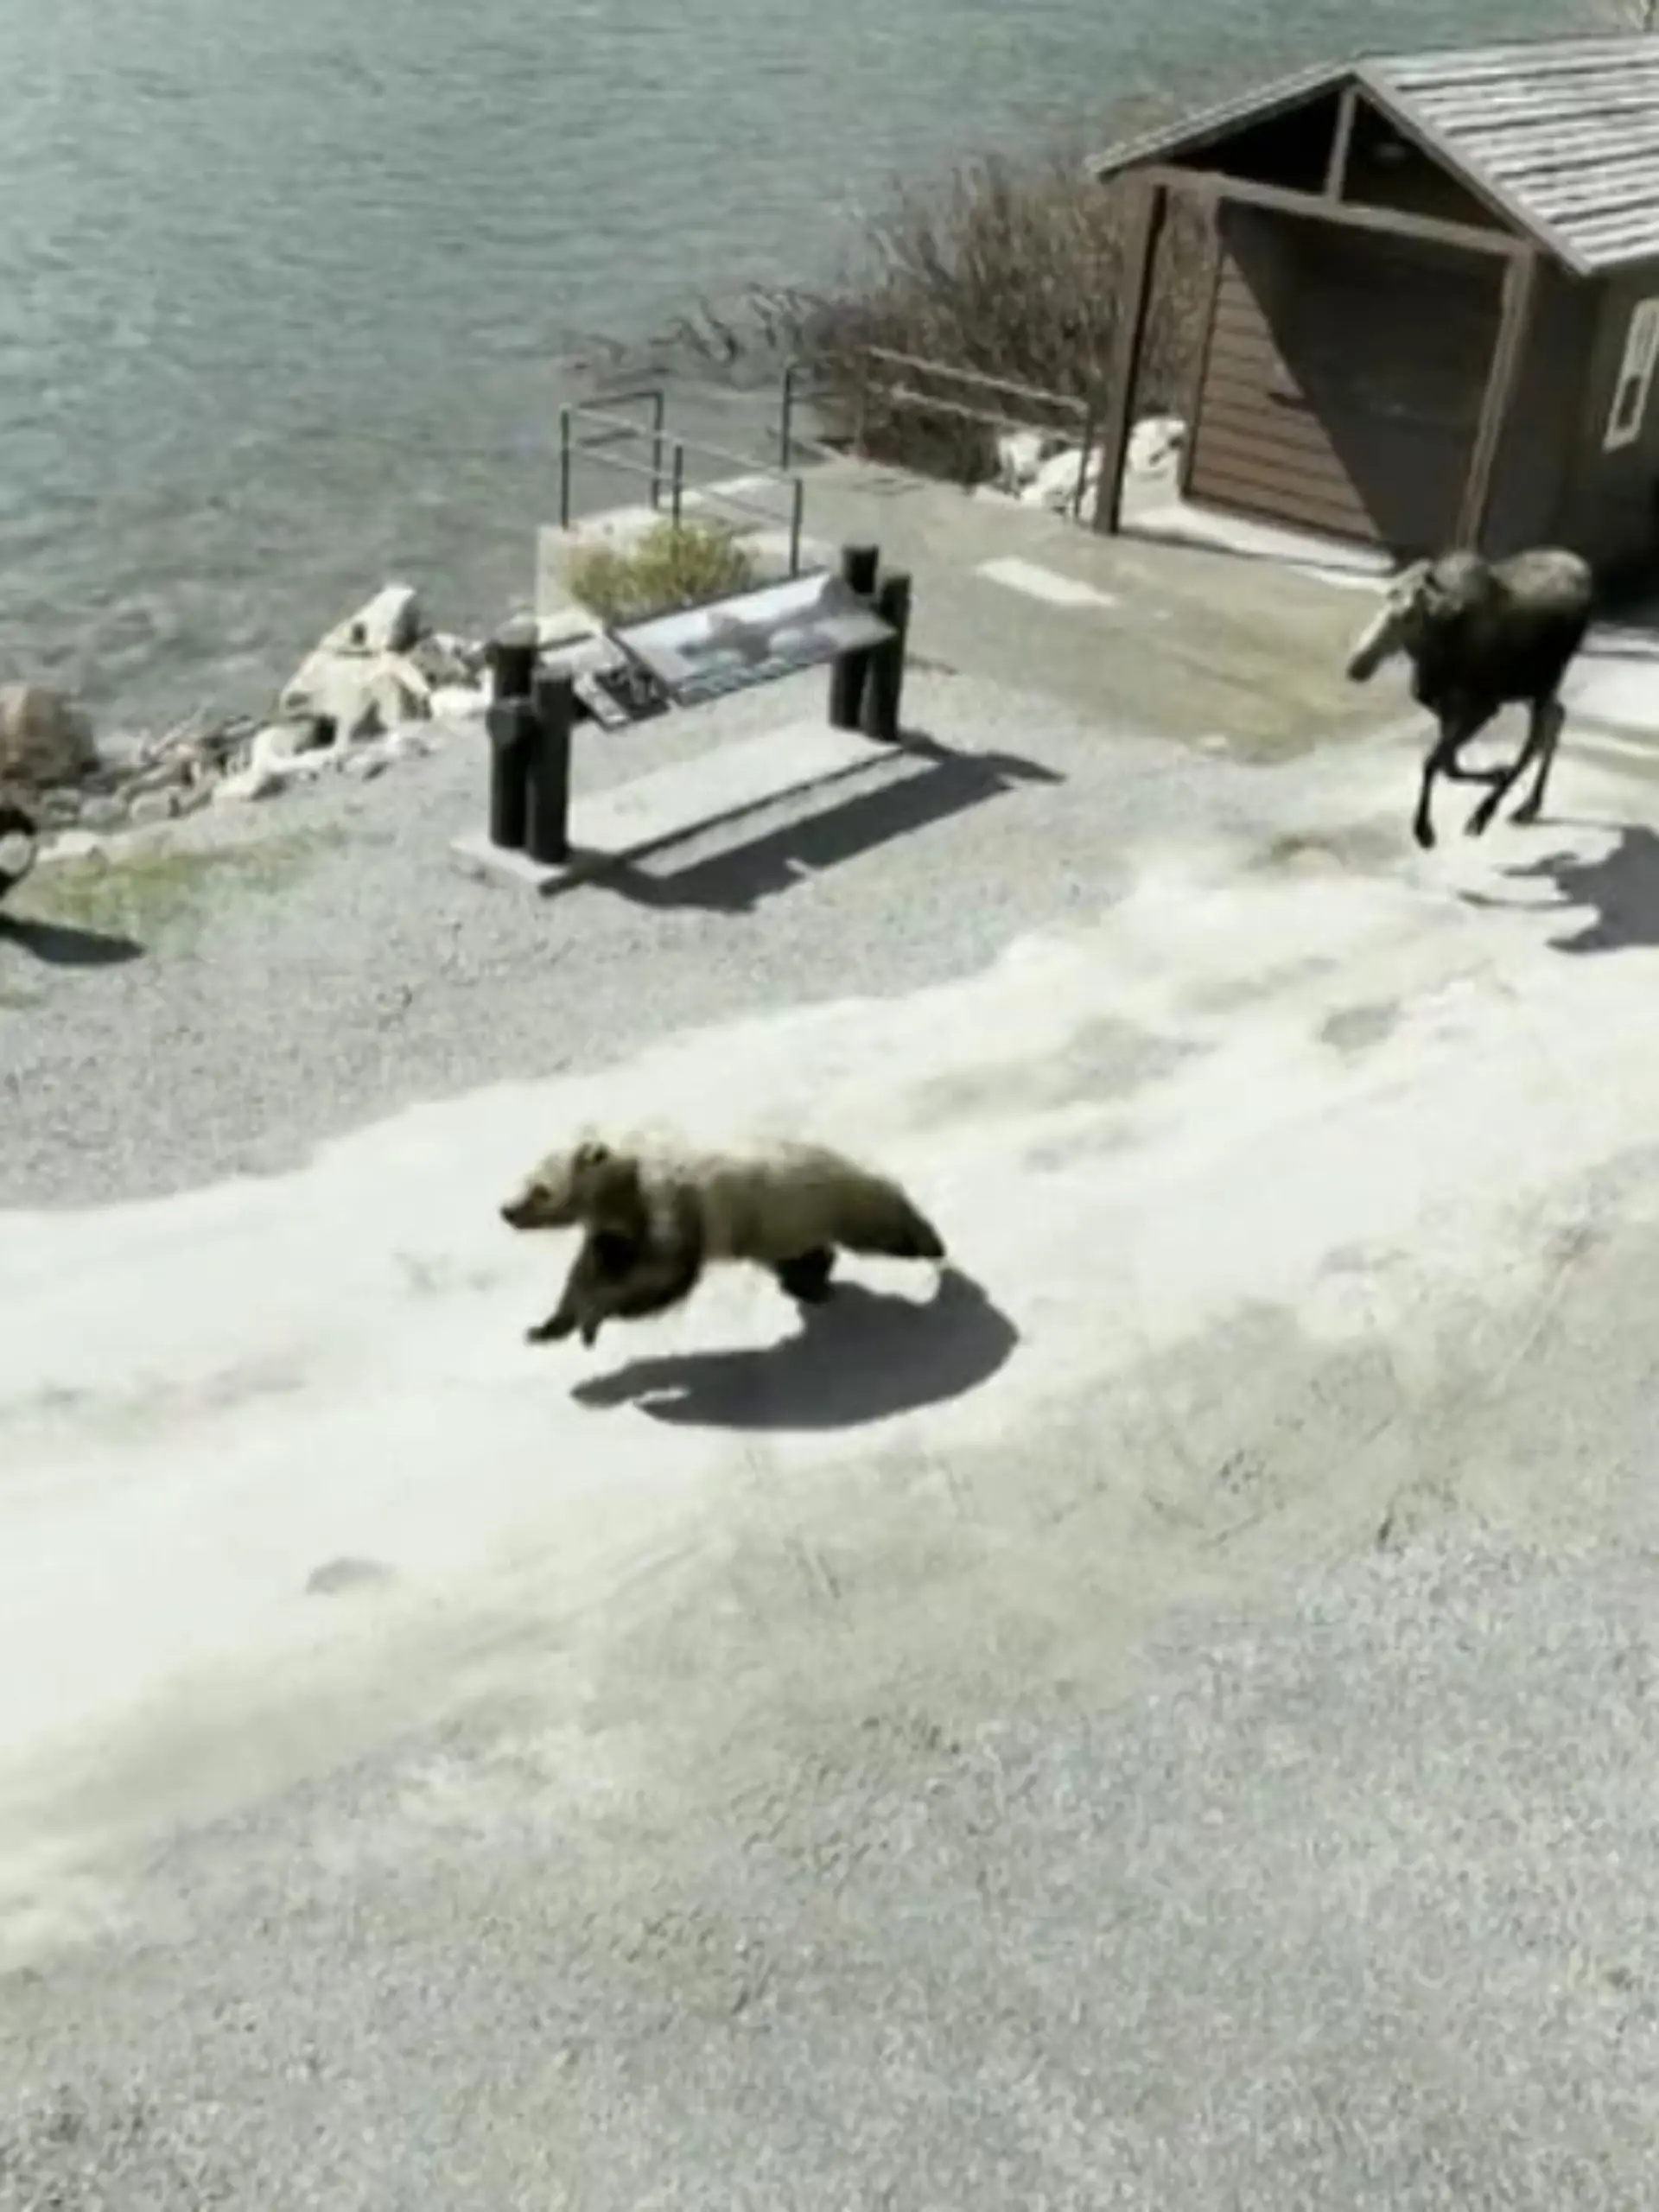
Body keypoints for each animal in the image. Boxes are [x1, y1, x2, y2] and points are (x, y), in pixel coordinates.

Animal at [498, 1130, 947, 1347]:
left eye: (540, 1189)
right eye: (525, 1180)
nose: (506, 1210)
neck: (624, 1195)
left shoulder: (672, 1208)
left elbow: (661, 1277)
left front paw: (593, 1319)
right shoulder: (613, 1233)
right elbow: (589, 1273)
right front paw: (546, 1327)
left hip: (821, 1200)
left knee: (884, 1223)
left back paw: (931, 1246)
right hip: (781, 1225)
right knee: (805, 1254)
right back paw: (807, 1283)